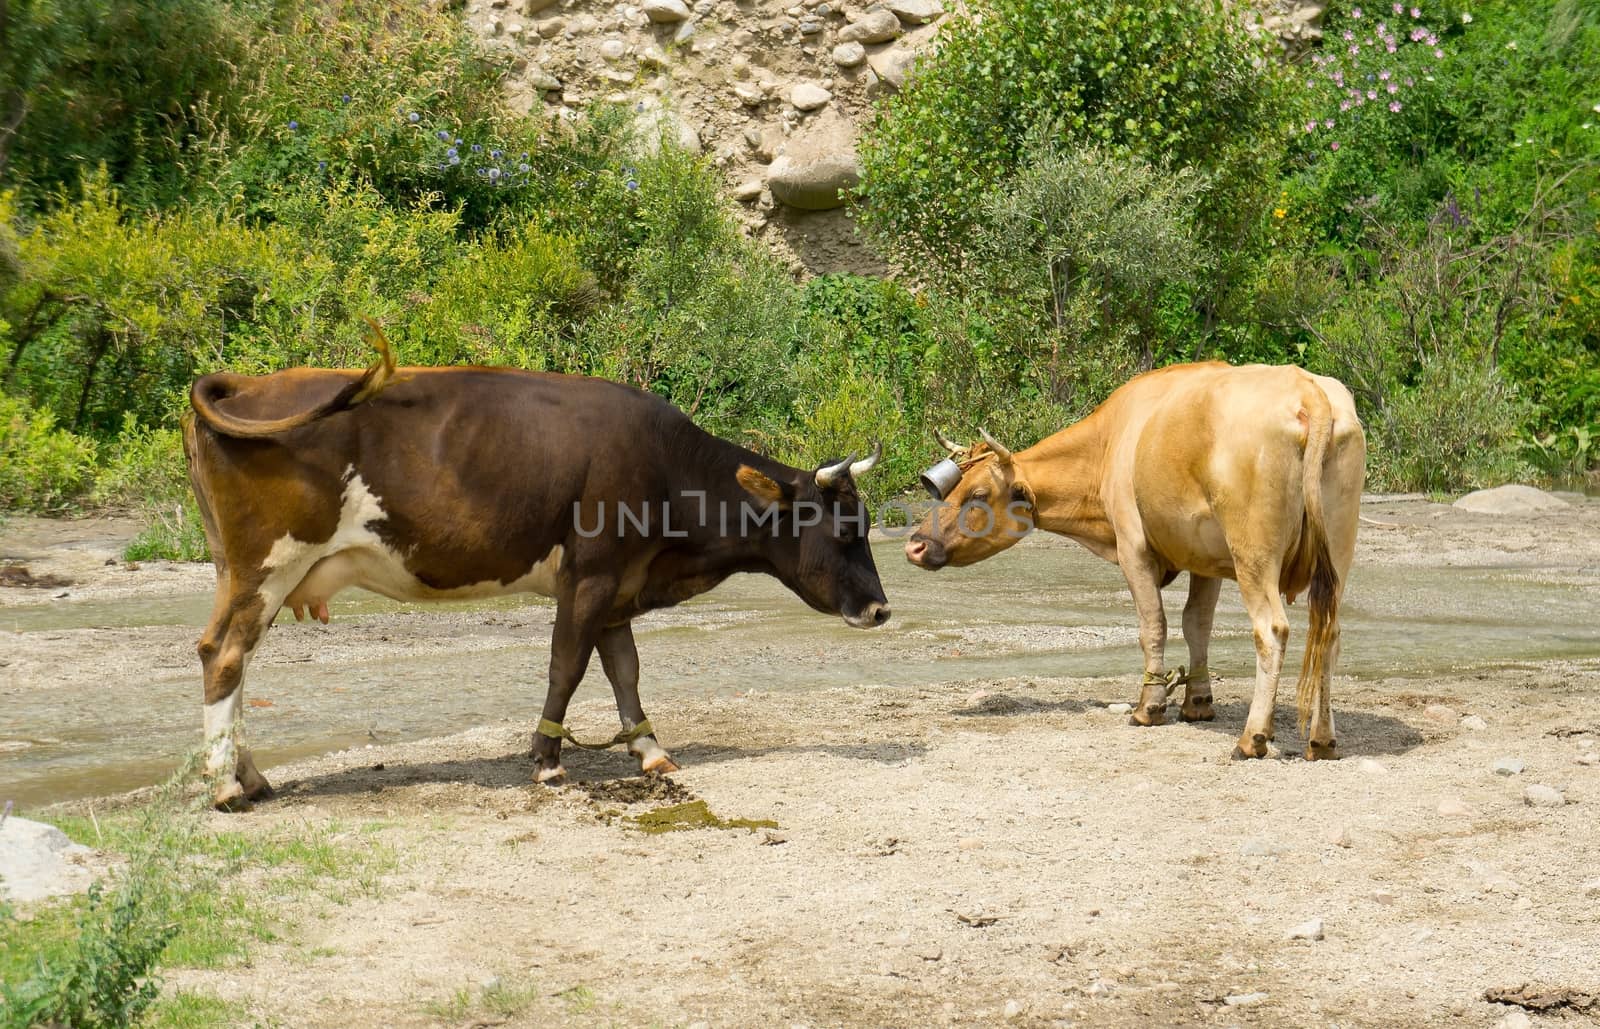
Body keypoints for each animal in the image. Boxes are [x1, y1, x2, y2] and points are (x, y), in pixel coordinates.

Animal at [184, 334, 902, 809]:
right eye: (845, 531)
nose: (881, 609)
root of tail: (251, 383)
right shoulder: (589, 575)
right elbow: (568, 665)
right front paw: (548, 761)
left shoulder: (618, 583)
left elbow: (624, 670)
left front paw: (649, 749)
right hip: (267, 564)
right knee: (225, 653)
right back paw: (225, 785)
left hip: (236, 568)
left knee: (231, 658)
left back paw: (251, 775)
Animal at [908, 360, 1369, 755]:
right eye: (950, 488)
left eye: (978, 494)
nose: (915, 544)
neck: (1111, 440)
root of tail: (1306, 389)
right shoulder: (1206, 558)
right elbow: (1197, 625)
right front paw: (1197, 702)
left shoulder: (1134, 548)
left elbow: (1154, 626)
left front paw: (1149, 706)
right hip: (1337, 551)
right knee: (1330, 633)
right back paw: (1322, 739)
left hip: (1254, 555)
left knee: (1271, 630)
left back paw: (1253, 737)